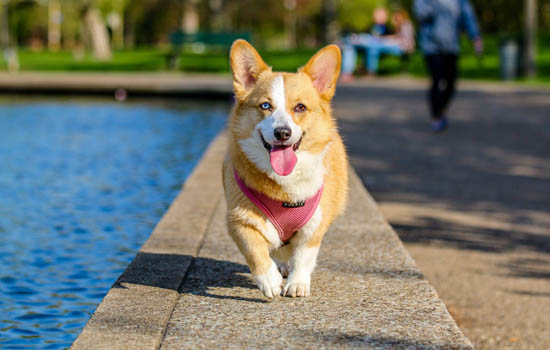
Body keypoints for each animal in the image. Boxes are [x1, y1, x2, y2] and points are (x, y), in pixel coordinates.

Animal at [223, 40, 350, 298]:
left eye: (300, 107)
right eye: (265, 105)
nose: (282, 133)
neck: (284, 184)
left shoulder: (314, 225)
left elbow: (303, 256)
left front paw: (297, 284)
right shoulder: (239, 220)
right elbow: (255, 250)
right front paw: (269, 280)